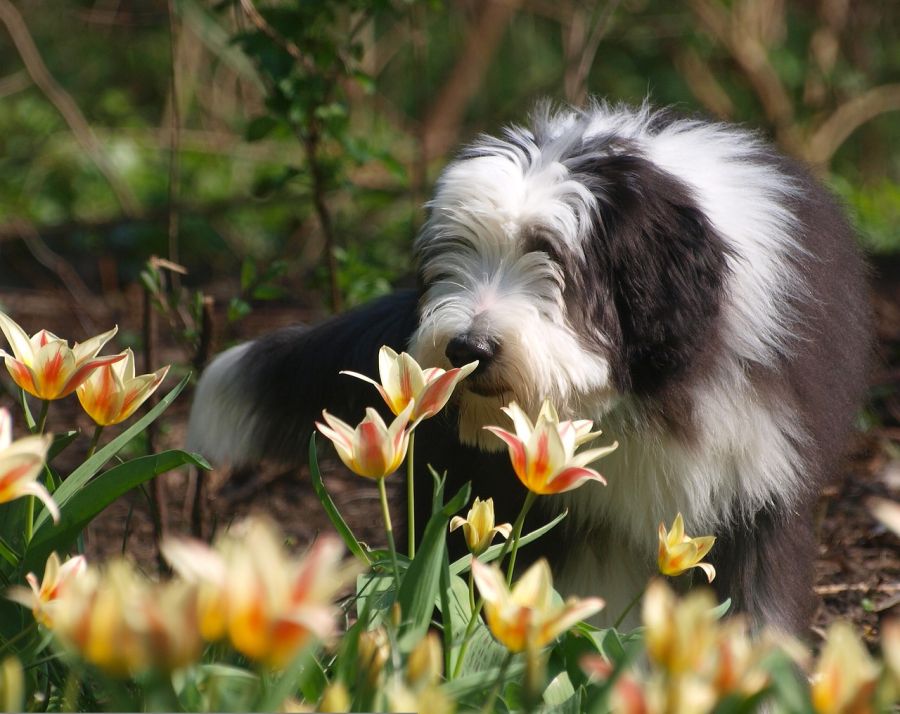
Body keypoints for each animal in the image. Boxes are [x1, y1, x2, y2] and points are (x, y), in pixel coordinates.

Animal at [190, 100, 872, 628]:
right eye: (457, 252)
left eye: (552, 257)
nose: (466, 349)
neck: (640, 398)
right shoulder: (555, 511)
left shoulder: (755, 494)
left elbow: (758, 612)